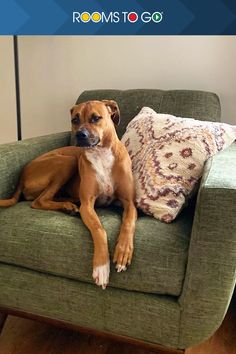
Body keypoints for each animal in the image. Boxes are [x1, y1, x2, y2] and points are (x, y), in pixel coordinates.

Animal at [0, 101, 136, 290]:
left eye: (96, 118)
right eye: (74, 120)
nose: (80, 135)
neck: (100, 154)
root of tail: (22, 175)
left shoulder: (129, 203)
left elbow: (128, 223)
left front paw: (123, 252)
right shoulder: (88, 205)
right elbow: (99, 229)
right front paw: (101, 267)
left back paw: (69, 204)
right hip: (66, 161)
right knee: (39, 201)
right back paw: (68, 205)